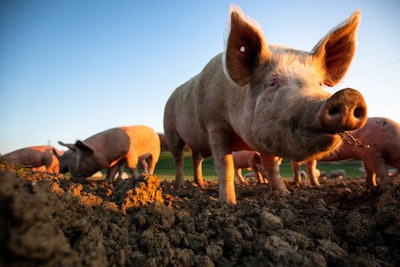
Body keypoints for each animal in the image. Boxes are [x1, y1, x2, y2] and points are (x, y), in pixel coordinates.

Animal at [162, 4, 366, 205]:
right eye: (272, 83)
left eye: (319, 83)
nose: (349, 96)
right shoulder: (214, 123)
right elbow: (225, 165)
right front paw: (228, 204)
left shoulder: (266, 137)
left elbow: (271, 166)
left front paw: (284, 194)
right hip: (171, 131)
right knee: (178, 158)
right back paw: (181, 187)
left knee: (196, 159)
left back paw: (201, 184)